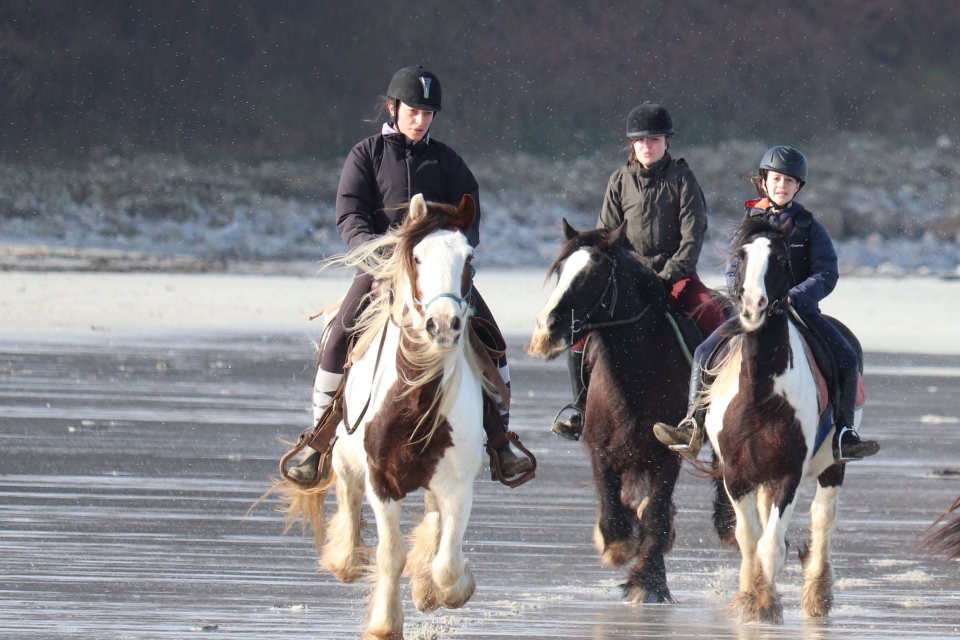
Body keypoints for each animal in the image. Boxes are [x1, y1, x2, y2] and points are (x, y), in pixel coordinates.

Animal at [279, 194, 489, 639]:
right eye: (417, 257)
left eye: (469, 257)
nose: (443, 325)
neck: (413, 400)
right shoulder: (381, 481)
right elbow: (390, 553)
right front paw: (385, 625)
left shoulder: (458, 483)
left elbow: (447, 563)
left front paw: (447, 588)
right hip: (344, 459)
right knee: (346, 492)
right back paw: (345, 558)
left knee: (432, 518)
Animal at [528, 220, 694, 603]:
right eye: (560, 270)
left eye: (595, 273)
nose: (547, 327)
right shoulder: (600, 450)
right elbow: (613, 513)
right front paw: (621, 545)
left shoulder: (668, 453)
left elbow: (656, 515)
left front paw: (648, 582)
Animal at [704, 217, 857, 623]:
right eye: (741, 256)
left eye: (782, 259)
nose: (753, 306)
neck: (760, 395)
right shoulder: (737, 475)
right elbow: (749, 539)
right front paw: (749, 596)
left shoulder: (788, 472)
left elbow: (772, 546)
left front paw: (765, 604)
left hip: (832, 465)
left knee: (822, 518)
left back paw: (818, 596)